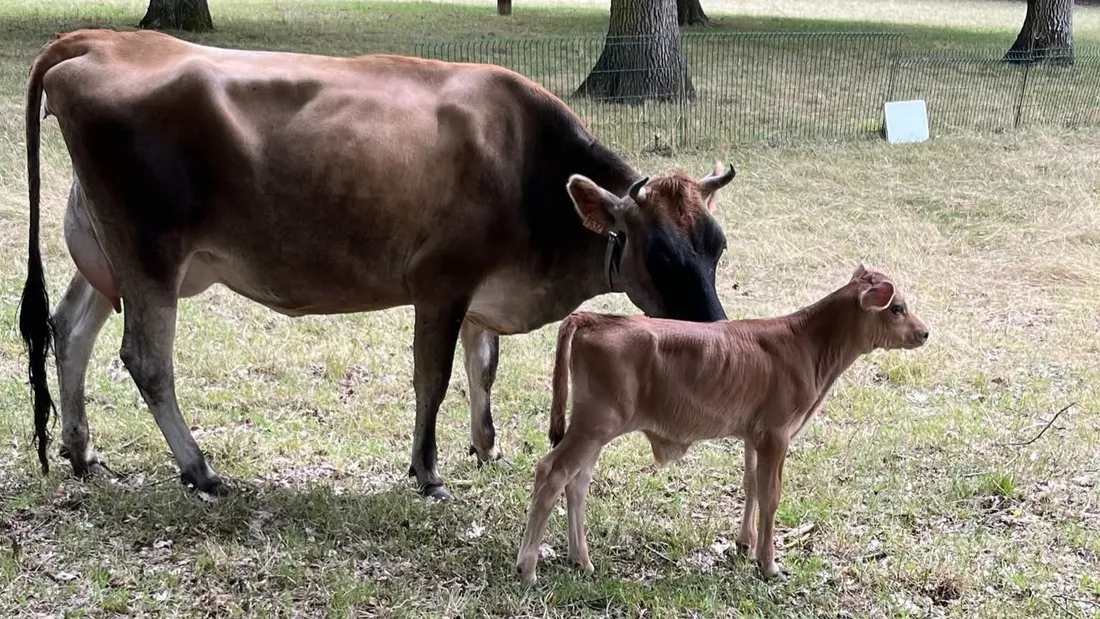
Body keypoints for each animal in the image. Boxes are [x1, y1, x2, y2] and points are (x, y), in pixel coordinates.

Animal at [18, 29, 738, 501]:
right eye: (658, 253)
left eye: (717, 244)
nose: (712, 331)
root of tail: (100, 40)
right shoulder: (442, 282)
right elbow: (435, 378)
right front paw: (427, 471)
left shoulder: (481, 291)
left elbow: (484, 367)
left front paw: (486, 445)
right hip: (150, 252)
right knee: (145, 358)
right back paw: (199, 469)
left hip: (106, 249)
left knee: (71, 330)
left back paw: (81, 451)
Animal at [515, 265, 929, 584]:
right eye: (897, 308)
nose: (925, 332)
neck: (809, 346)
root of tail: (592, 317)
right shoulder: (777, 434)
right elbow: (772, 495)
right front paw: (769, 564)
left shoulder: (753, 434)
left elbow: (751, 485)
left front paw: (745, 545)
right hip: (595, 422)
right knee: (552, 472)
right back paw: (528, 567)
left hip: (593, 426)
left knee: (577, 482)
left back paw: (581, 560)